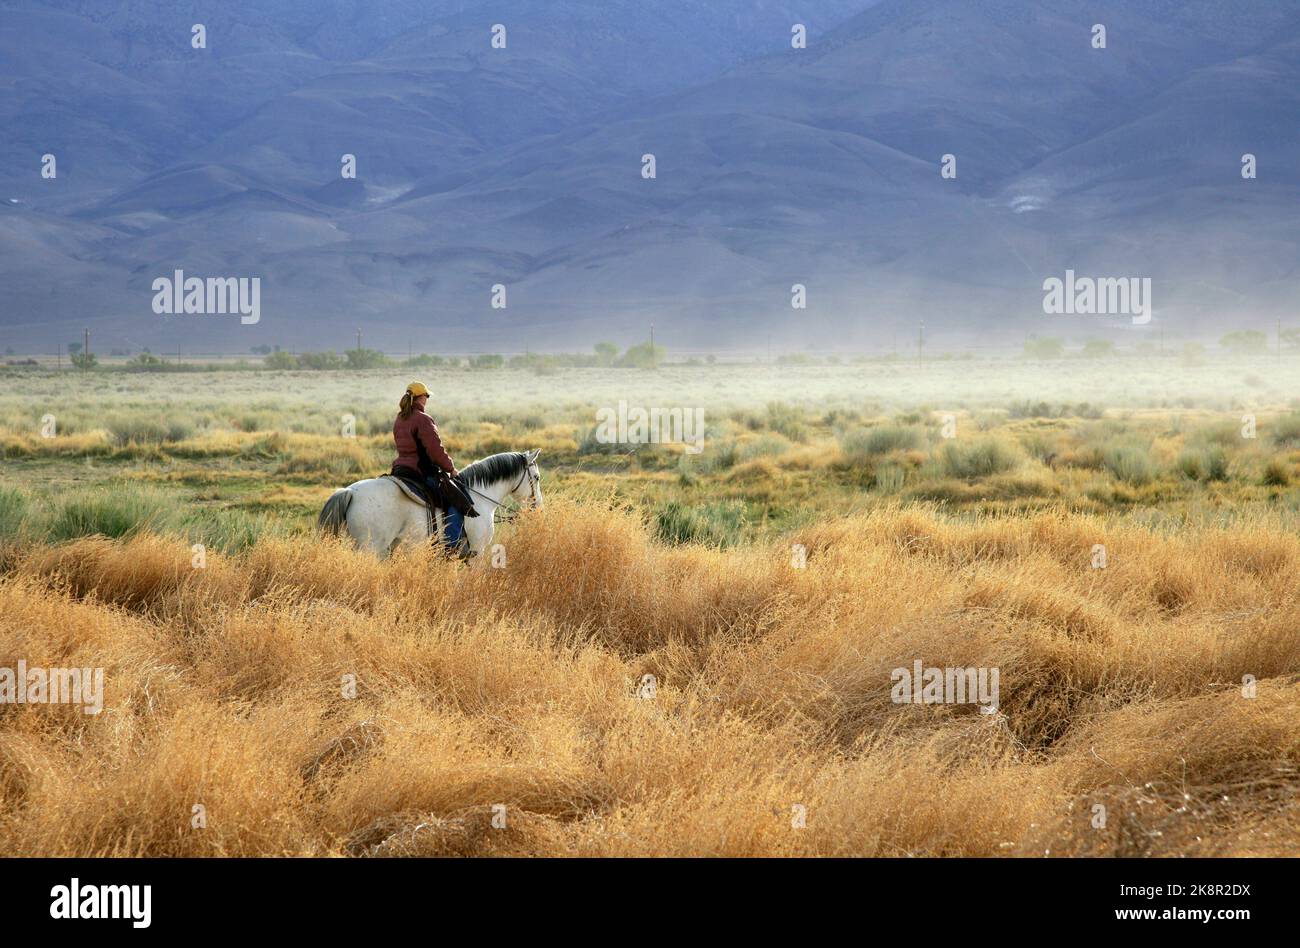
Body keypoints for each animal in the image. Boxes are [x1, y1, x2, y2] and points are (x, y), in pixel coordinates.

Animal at [319, 449, 543, 559]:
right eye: (537, 477)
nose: (538, 508)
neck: (479, 498)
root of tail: (349, 492)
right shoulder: (477, 551)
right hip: (371, 547)